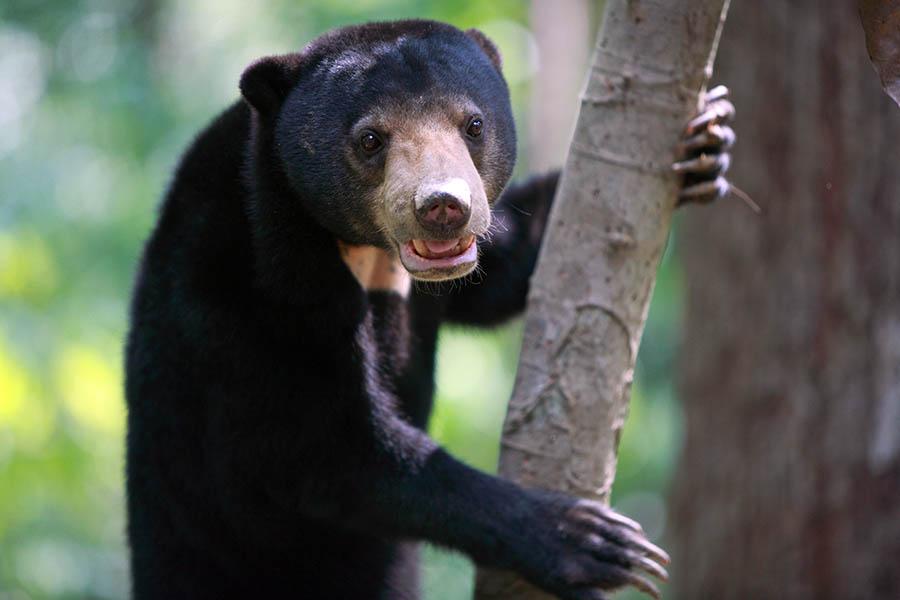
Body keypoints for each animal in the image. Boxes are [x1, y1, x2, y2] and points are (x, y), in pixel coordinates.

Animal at [125, 19, 734, 600]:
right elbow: (323, 450)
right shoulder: (243, 284)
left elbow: (502, 270)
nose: (444, 207)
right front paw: (590, 542)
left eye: (474, 125)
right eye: (370, 139)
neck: (368, 254)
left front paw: (708, 139)